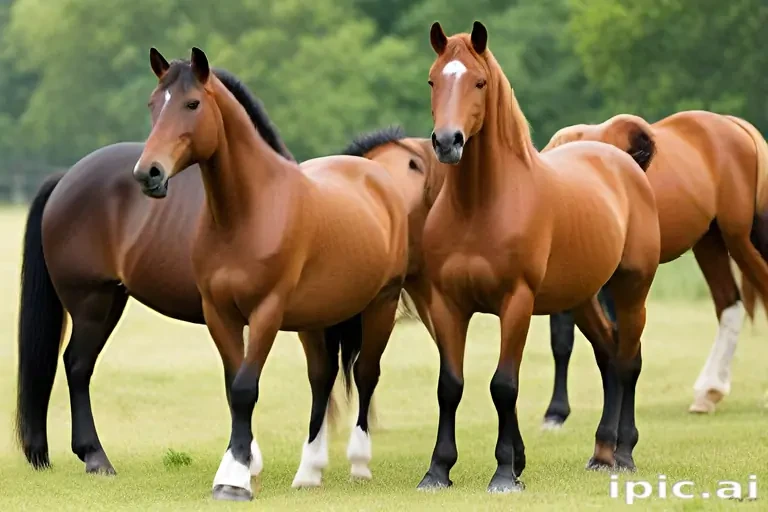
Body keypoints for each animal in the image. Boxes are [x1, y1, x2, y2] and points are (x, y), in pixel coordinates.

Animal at [15, 78, 432, 482]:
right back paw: (95, 456)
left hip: (110, 299)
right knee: (77, 366)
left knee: (76, 364)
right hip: (91, 303)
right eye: (416, 165)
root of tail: (65, 179)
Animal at [129, 46, 412, 501]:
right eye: (154, 104)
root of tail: (376, 177)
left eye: (192, 104)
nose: (148, 174)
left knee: (366, 373)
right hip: (317, 319)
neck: (247, 214)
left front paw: (234, 479)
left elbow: (246, 388)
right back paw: (309, 471)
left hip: (380, 305)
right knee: (322, 379)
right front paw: (237, 465)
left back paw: (359, 463)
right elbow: (233, 388)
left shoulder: (266, 312)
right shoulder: (219, 313)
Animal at [417, 21, 661, 493]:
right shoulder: (447, 304)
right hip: (581, 297)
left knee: (628, 360)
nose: (447, 142)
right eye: (433, 81)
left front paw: (504, 473)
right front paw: (438, 470)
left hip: (631, 289)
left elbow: (503, 386)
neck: (479, 208)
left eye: (480, 82)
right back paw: (601, 451)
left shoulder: (517, 302)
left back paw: (623, 452)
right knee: (607, 353)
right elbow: (449, 385)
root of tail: (623, 162)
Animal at [541, 110, 768, 425]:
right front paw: (556, 413)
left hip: (742, 239)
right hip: (709, 241)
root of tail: (733, 124)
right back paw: (708, 393)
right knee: (729, 304)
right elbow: (564, 339)